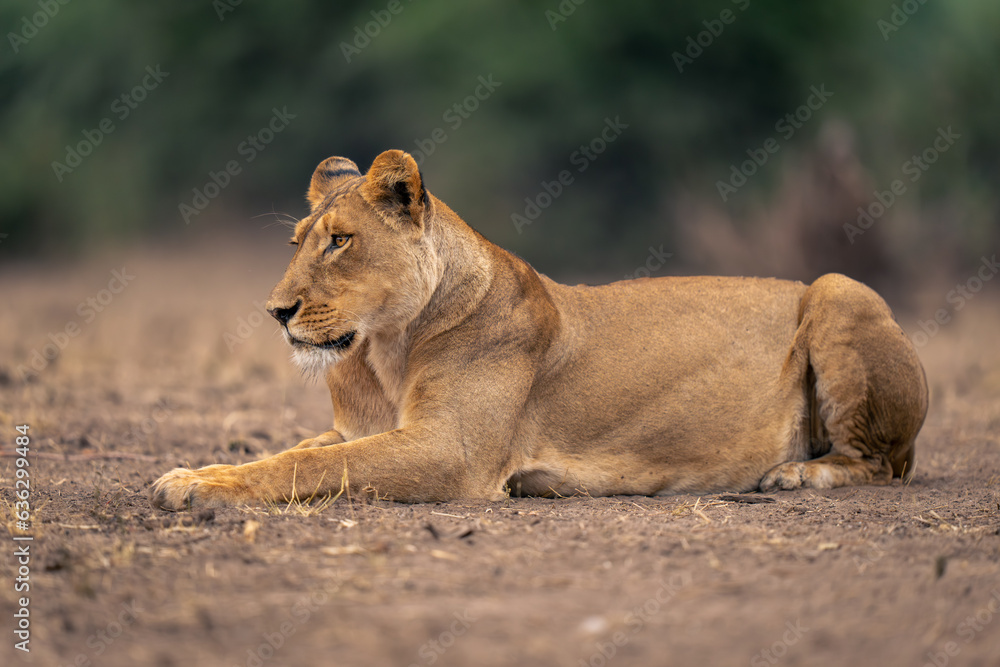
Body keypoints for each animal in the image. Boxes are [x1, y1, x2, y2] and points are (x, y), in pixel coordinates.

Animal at [150, 149, 928, 510]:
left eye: (340, 241)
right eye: (296, 243)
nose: (276, 311)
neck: (382, 351)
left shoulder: (451, 452)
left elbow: (305, 467)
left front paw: (197, 487)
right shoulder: (358, 429)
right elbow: (286, 453)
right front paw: (190, 473)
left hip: (837, 287)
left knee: (880, 463)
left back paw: (797, 472)